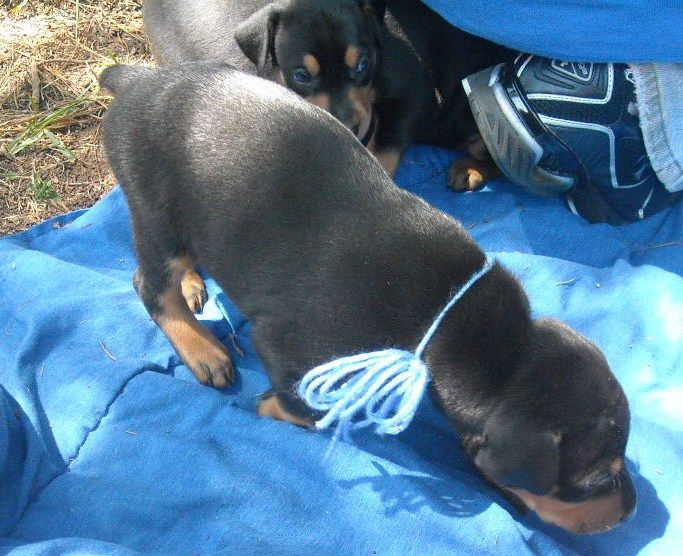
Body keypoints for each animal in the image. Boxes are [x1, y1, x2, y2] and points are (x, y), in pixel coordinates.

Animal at [100, 62, 636, 536]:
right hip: (158, 215)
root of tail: (139, 81)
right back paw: (203, 350)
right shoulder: (285, 347)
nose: (632, 511)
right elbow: (304, 408)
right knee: (148, 285)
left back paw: (195, 286)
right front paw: (270, 409)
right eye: (597, 479)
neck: (452, 312)